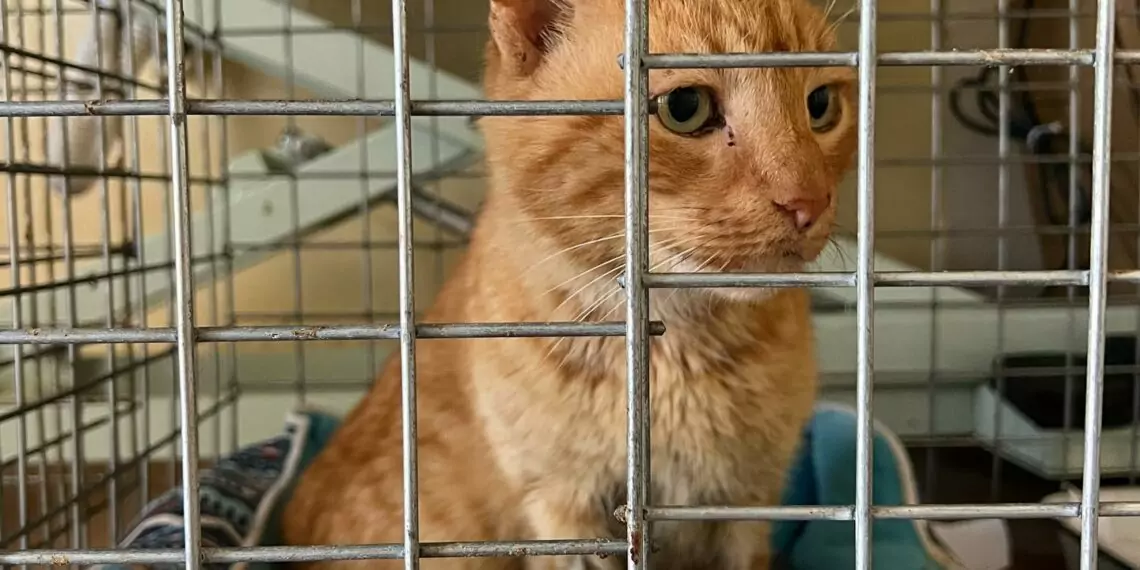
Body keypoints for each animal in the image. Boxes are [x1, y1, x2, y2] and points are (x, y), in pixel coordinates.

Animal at [281, 0, 857, 569]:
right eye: (685, 107)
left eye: (821, 104)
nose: (808, 202)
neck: (669, 350)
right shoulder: (561, 507)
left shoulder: (744, 505)